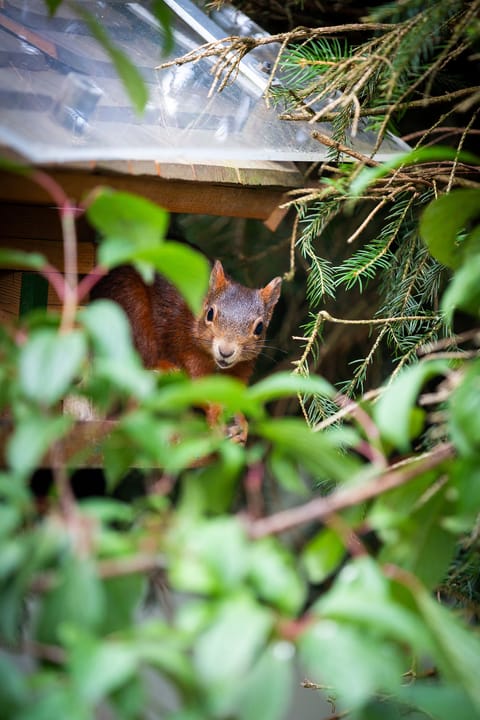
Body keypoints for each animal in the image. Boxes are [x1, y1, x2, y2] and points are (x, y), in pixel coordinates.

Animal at [91, 258, 282, 438]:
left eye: (259, 328)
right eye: (210, 313)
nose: (225, 352)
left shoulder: (241, 366)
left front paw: (240, 419)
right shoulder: (186, 347)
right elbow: (197, 385)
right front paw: (215, 413)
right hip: (129, 307)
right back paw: (164, 366)